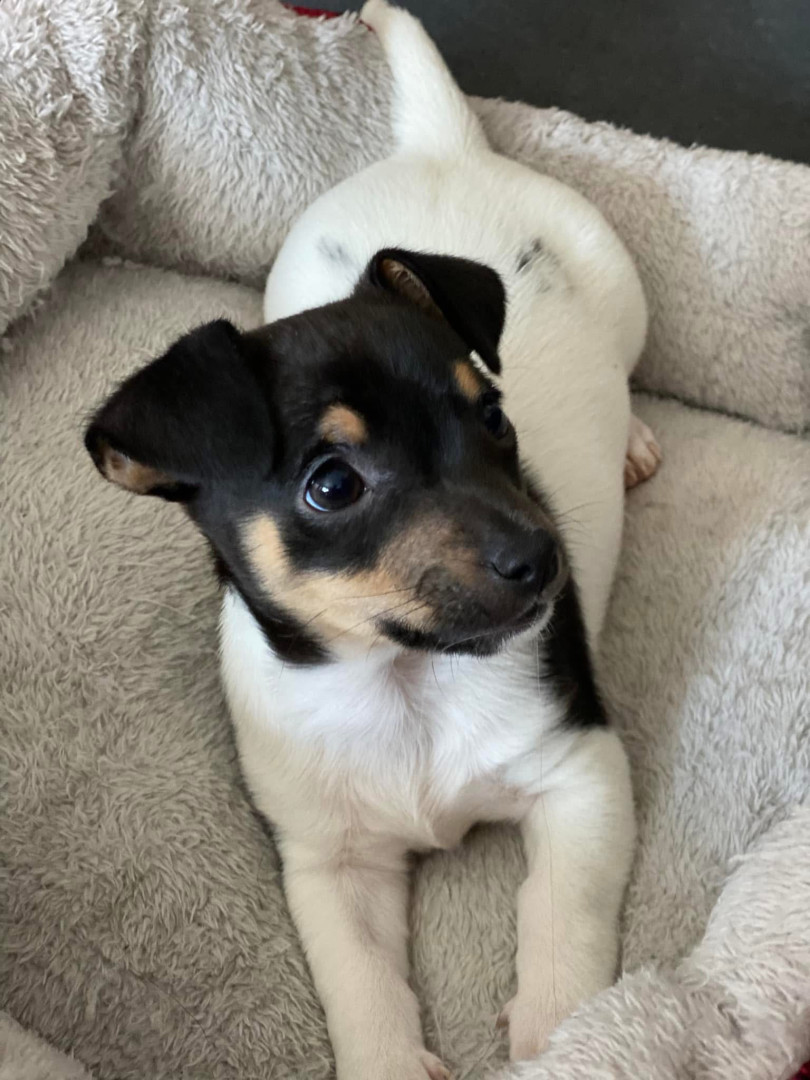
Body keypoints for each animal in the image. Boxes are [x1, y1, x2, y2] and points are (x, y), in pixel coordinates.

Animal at [85, 2, 661, 1075]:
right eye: (332, 486)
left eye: (496, 421)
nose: (544, 563)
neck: (406, 681)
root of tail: (443, 147)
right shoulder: (327, 861)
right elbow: (362, 984)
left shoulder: (579, 772)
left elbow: (562, 919)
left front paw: (567, 1037)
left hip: (623, 294)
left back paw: (638, 439)